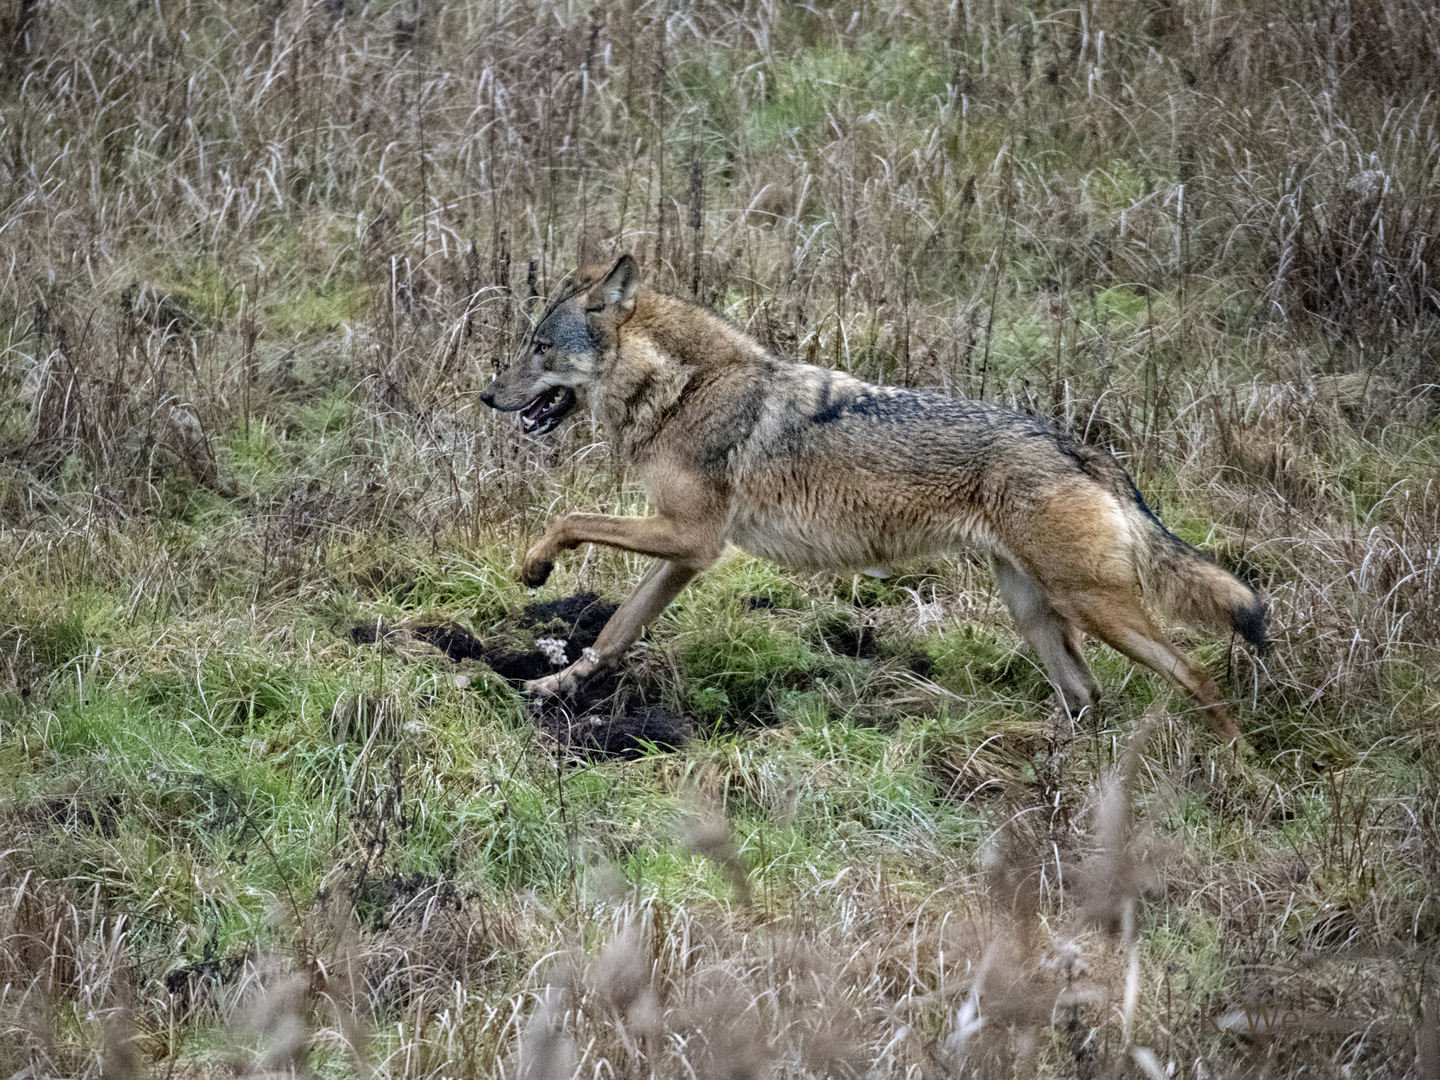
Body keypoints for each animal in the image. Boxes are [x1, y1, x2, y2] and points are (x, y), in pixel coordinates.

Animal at [478, 256, 1267, 743]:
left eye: (540, 347)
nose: (487, 395)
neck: (686, 390)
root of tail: (1078, 447)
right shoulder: (689, 553)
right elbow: (614, 633)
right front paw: (554, 688)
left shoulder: (690, 537)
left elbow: (569, 518)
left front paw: (534, 568)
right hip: (1037, 612)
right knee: (1086, 697)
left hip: (1096, 608)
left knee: (1194, 673)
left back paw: (1239, 766)